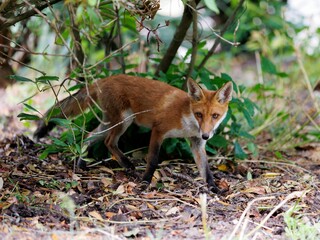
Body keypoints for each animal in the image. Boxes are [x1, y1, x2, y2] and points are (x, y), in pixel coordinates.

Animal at [35, 75, 232, 193]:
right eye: (199, 114)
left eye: (215, 116)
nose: (207, 136)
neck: (187, 119)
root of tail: (103, 79)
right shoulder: (158, 130)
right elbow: (153, 160)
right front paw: (145, 182)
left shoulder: (196, 143)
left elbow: (206, 170)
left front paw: (214, 188)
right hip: (123, 121)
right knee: (108, 141)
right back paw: (126, 165)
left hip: (110, 122)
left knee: (90, 136)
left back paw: (82, 162)